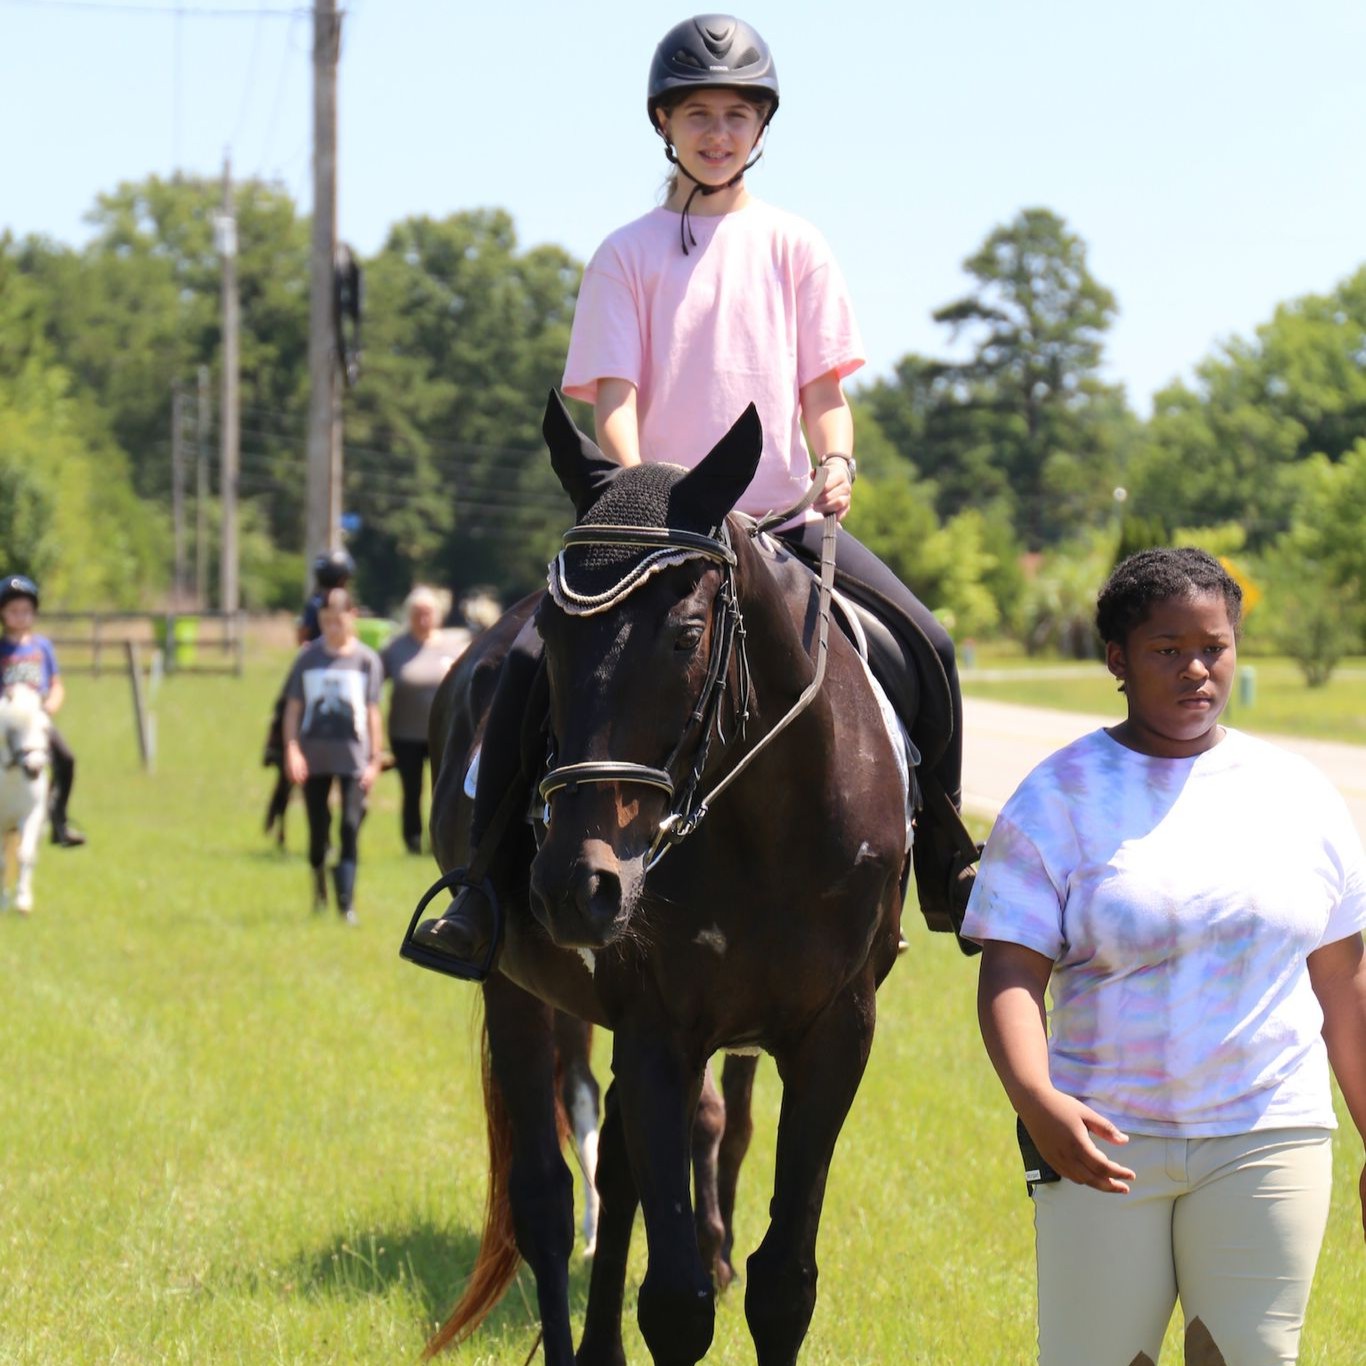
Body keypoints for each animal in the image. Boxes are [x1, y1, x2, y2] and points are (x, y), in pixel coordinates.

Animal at [414, 393, 909, 1365]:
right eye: (553, 636)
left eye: (684, 634)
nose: (578, 883)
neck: (768, 825)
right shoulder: (659, 1029)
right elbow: (678, 1300)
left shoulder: (837, 1034)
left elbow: (783, 1284)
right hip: (515, 992)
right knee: (547, 1204)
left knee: (618, 1169)